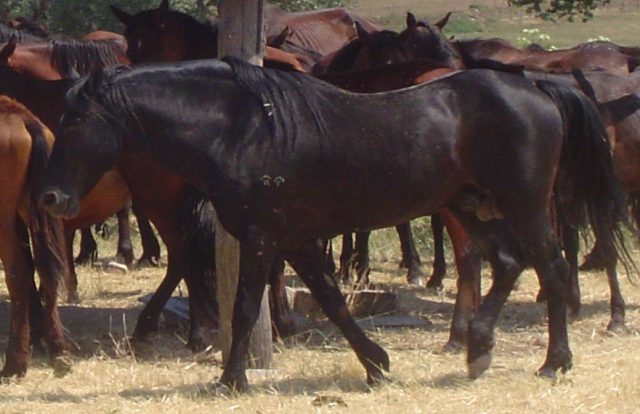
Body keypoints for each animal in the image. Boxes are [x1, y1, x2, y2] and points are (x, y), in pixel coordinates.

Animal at [38, 58, 624, 392]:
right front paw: (377, 364)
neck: (245, 130)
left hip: (522, 204)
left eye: (77, 120)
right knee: (507, 264)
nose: (51, 197)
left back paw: (554, 362)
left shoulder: (263, 236)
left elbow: (245, 306)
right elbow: (333, 301)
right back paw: (478, 350)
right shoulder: (295, 239)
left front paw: (230, 379)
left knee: (551, 269)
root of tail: (537, 89)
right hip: (469, 206)